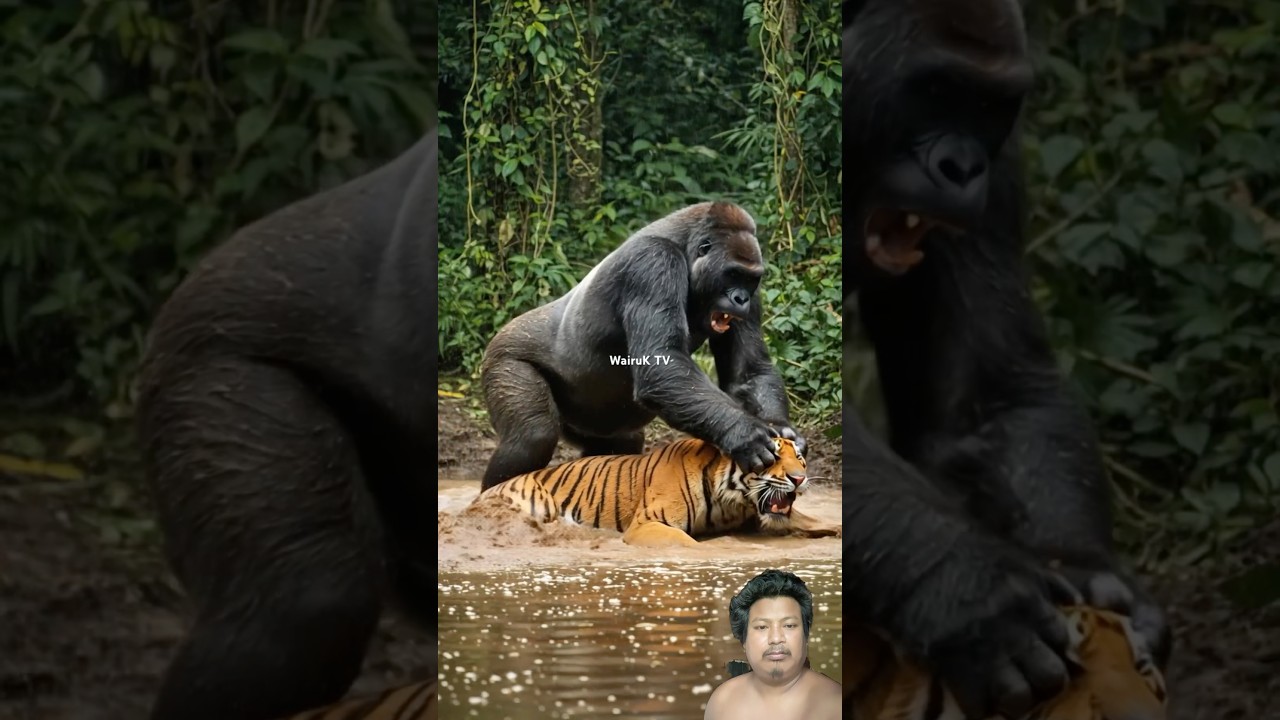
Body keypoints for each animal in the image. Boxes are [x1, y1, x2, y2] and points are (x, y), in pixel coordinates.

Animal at [472, 436, 841, 547]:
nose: (799, 479)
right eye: (773, 457)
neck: (731, 500)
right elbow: (688, 544)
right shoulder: (647, 523)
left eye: (800, 458)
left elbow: (811, 521)